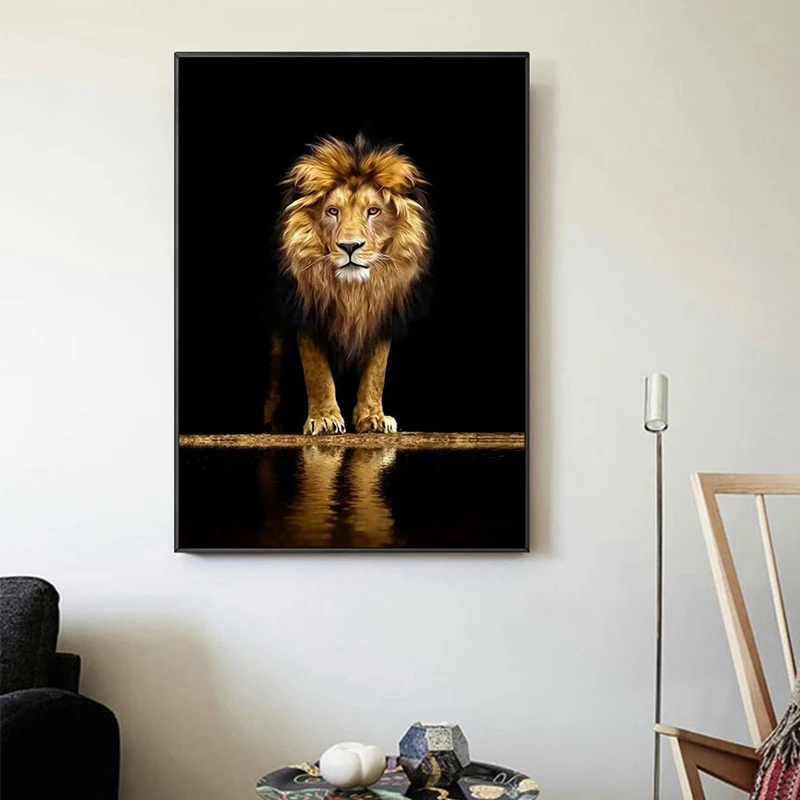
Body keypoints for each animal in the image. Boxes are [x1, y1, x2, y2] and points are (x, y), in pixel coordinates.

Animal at [263, 135, 431, 435]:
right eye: (332, 211)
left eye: (373, 211)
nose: (350, 246)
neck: (352, 291)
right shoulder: (308, 313)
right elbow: (317, 371)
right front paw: (325, 418)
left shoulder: (381, 314)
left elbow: (376, 371)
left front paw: (374, 417)